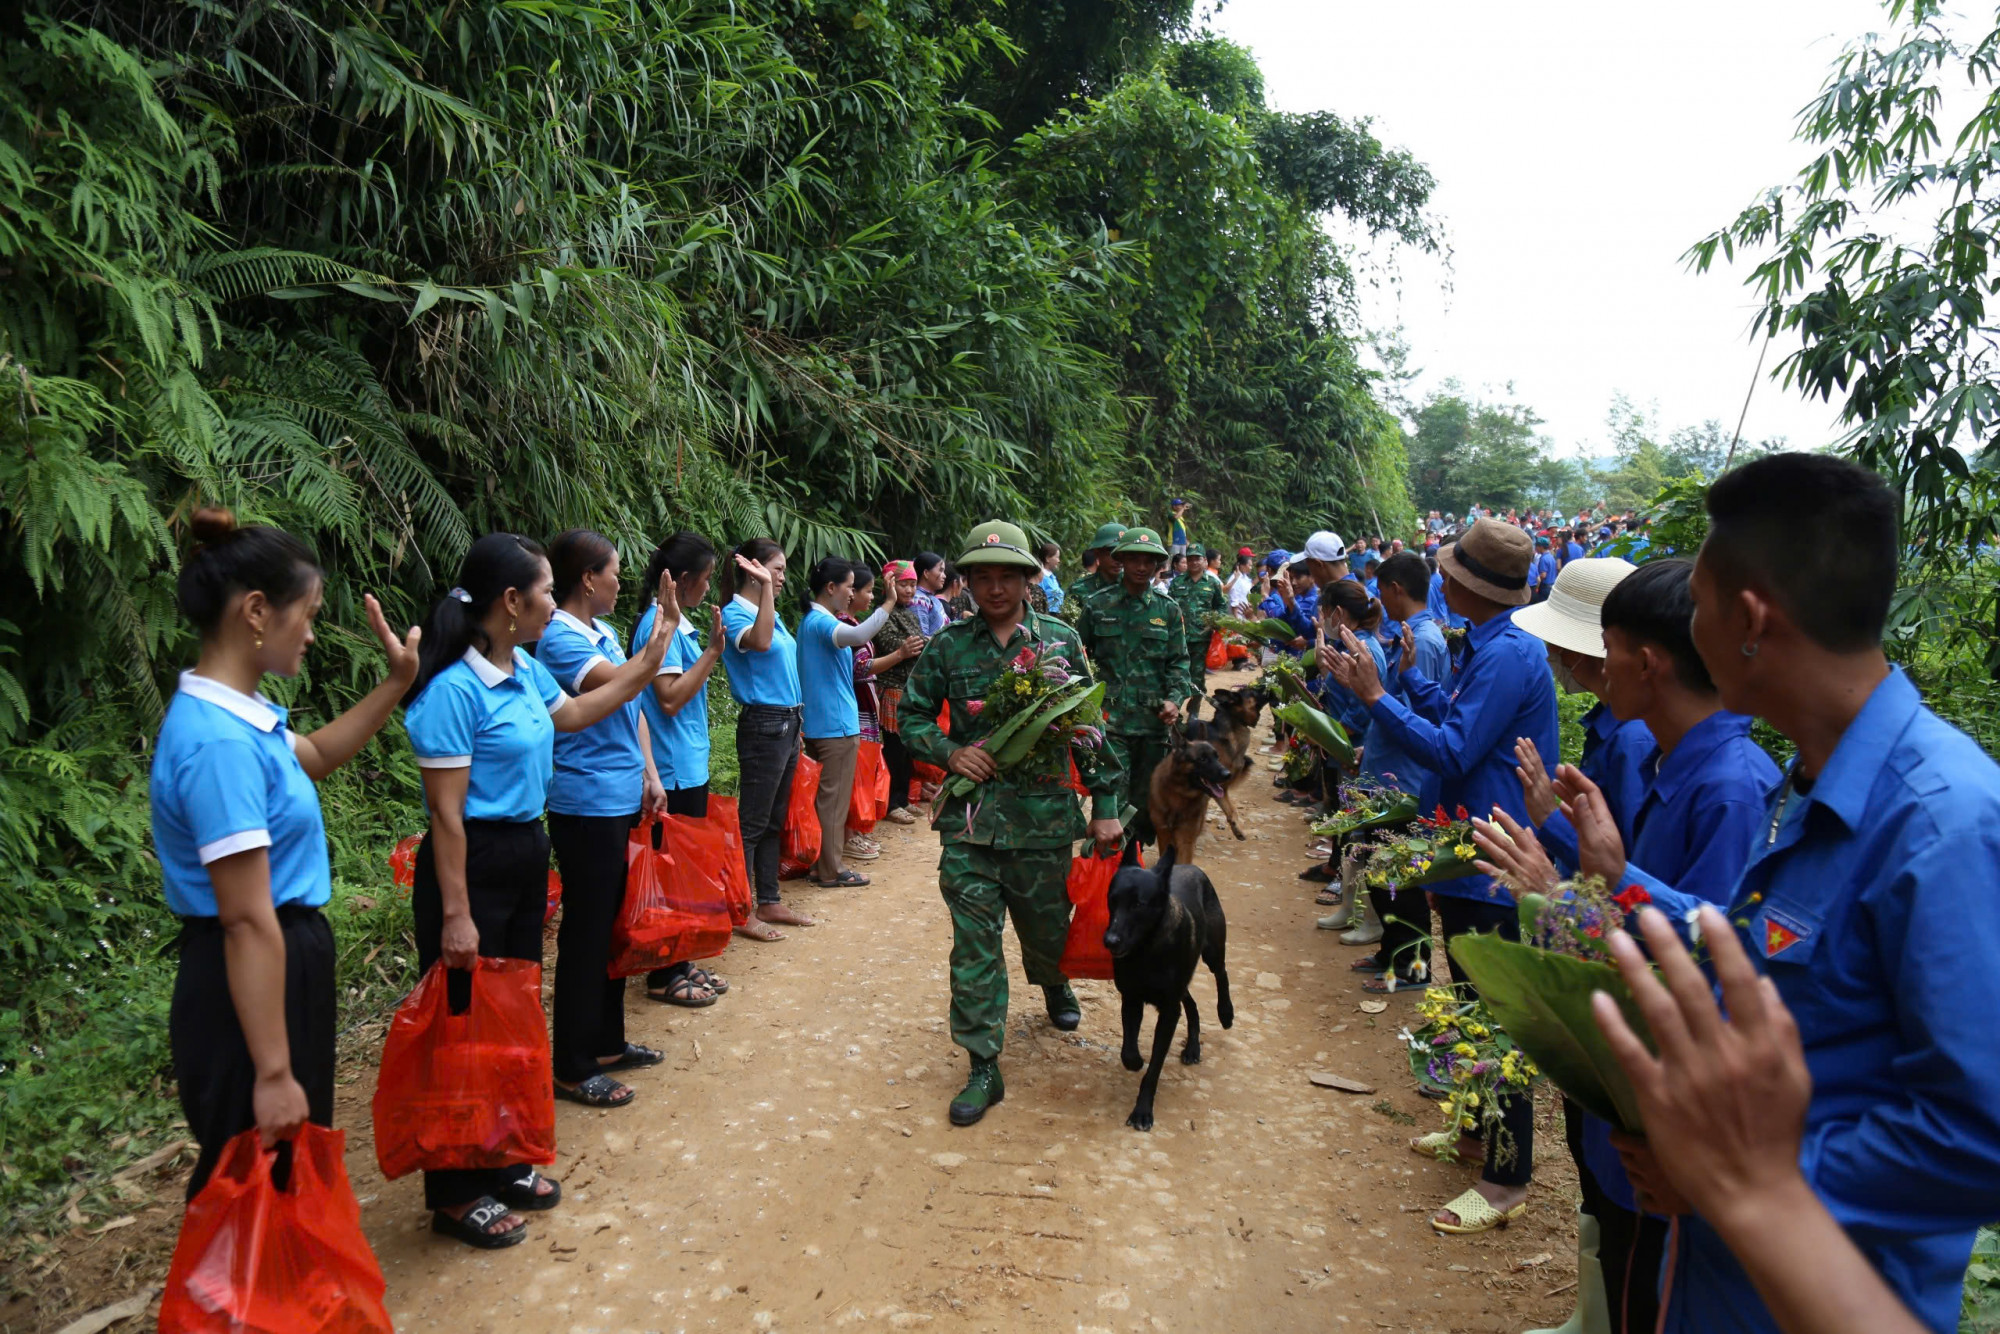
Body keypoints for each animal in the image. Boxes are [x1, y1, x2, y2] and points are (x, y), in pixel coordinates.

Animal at [1104, 844, 1224, 1128]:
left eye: (1138, 904)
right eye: (1112, 899)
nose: (1110, 940)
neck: (1145, 950)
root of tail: (1190, 866)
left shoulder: (1169, 1012)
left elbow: (1154, 1069)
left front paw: (1142, 1111)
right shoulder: (1132, 999)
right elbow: (1128, 1051)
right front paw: (1136, 1061)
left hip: (1213, 950)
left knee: (1221, 974)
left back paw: (1227, 1012)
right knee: (1191, 1003)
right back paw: (1192, 1046)